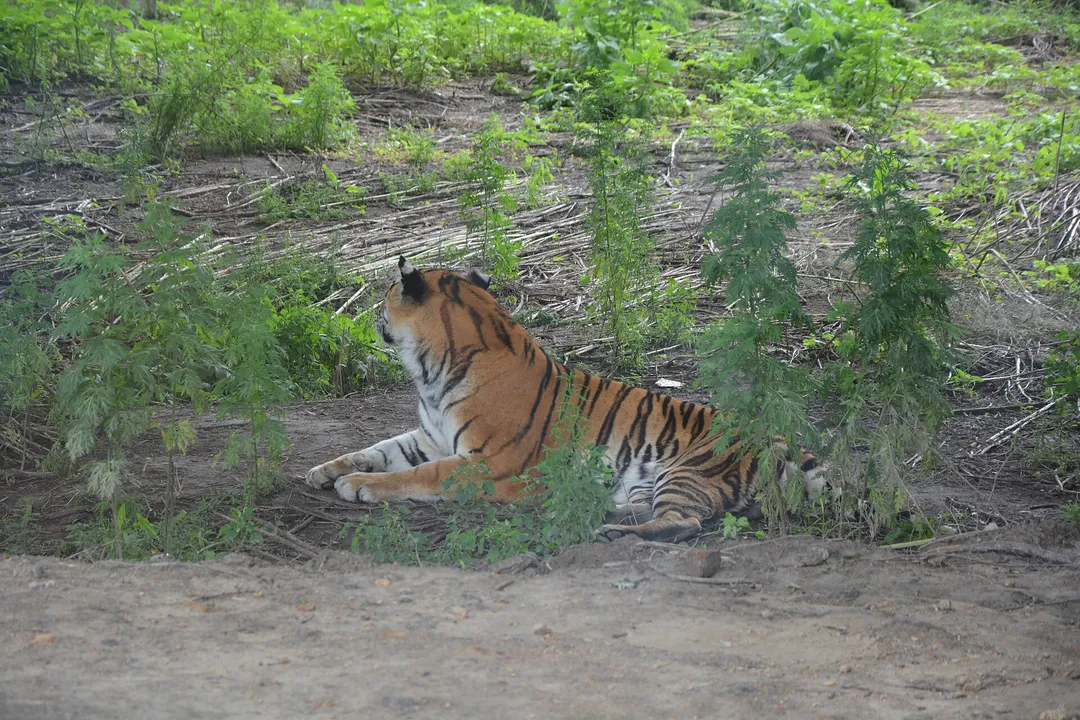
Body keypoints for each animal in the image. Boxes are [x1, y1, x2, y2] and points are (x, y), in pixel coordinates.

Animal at [305, 257, 826, 542]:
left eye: (386, 294)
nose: (372, 316)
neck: (430, 373)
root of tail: (784, 441)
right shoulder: (431, 437)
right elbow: (378, 449)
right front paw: (325, 470)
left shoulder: (489, 463)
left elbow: (418, 475)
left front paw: (357, 485)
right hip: (649, 479)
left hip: (688, 471)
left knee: (685, 522)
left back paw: (612, 529)